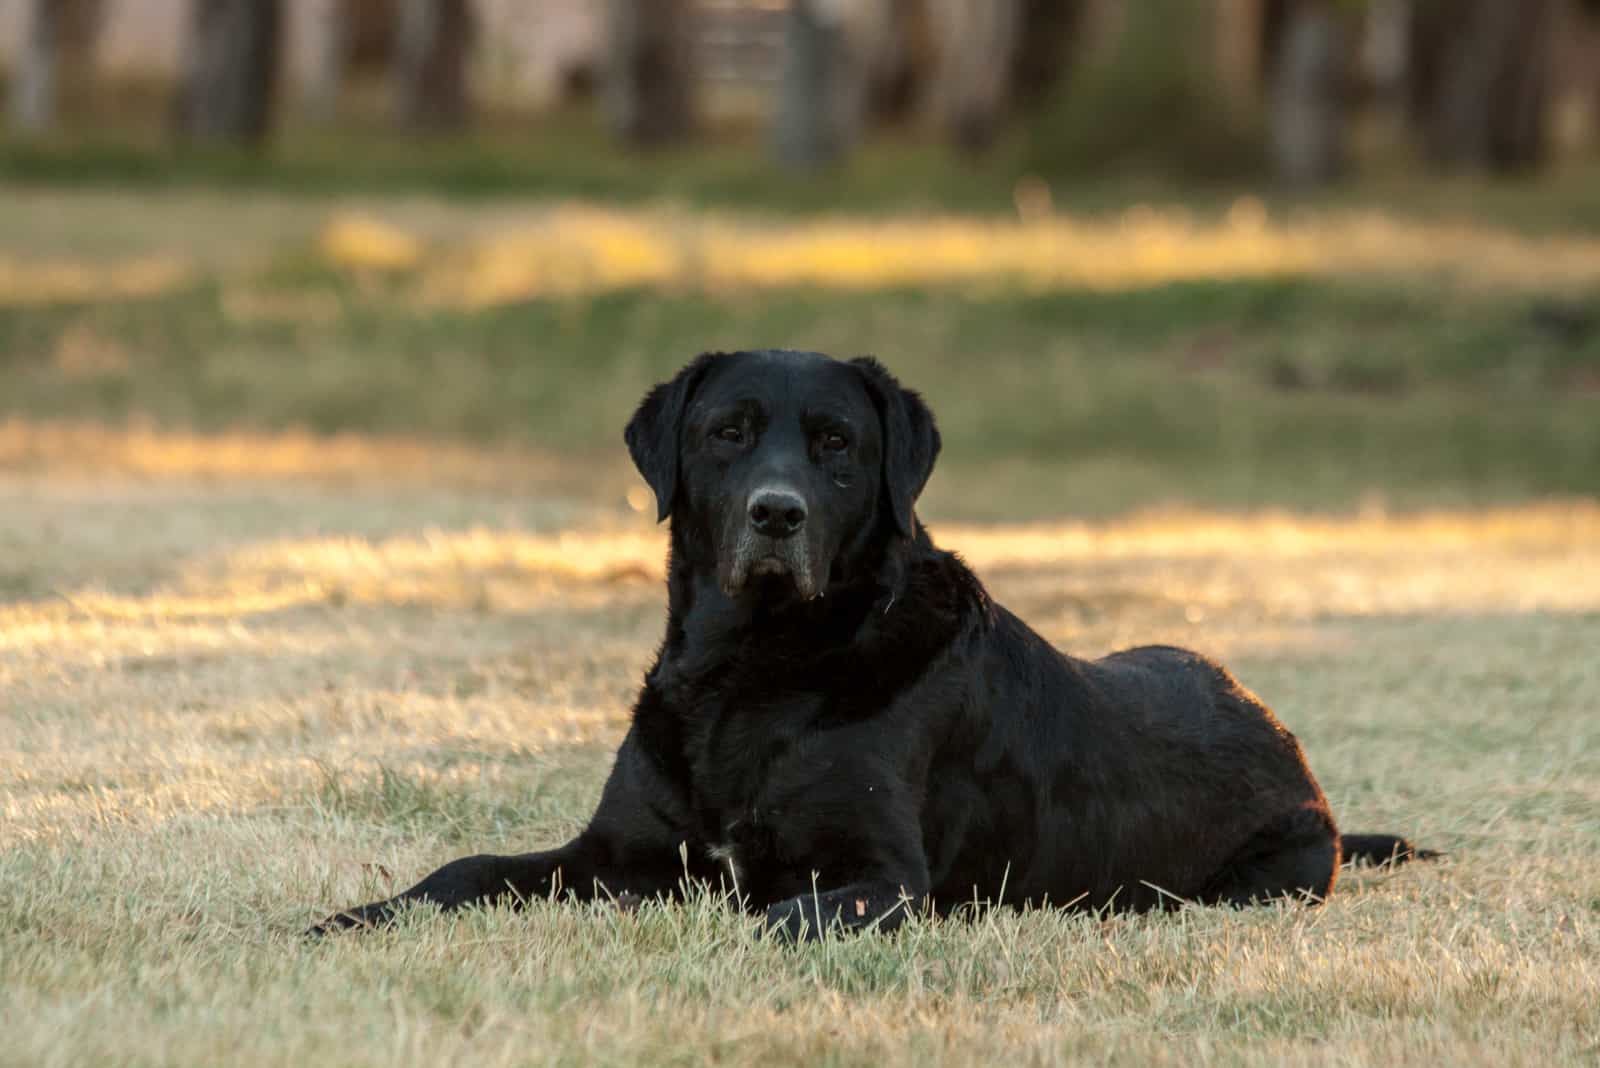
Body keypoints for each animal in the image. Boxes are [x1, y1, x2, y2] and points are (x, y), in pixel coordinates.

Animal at [308, 346, 1427, 940]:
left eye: (837, 446)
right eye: (727, 432)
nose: (776, 513)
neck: (753, 671)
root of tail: (1281, 733)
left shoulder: (882, 877)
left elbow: (769, 913)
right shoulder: (618, 848)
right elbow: (465, 870)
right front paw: (348, 919)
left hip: (1266, 874)